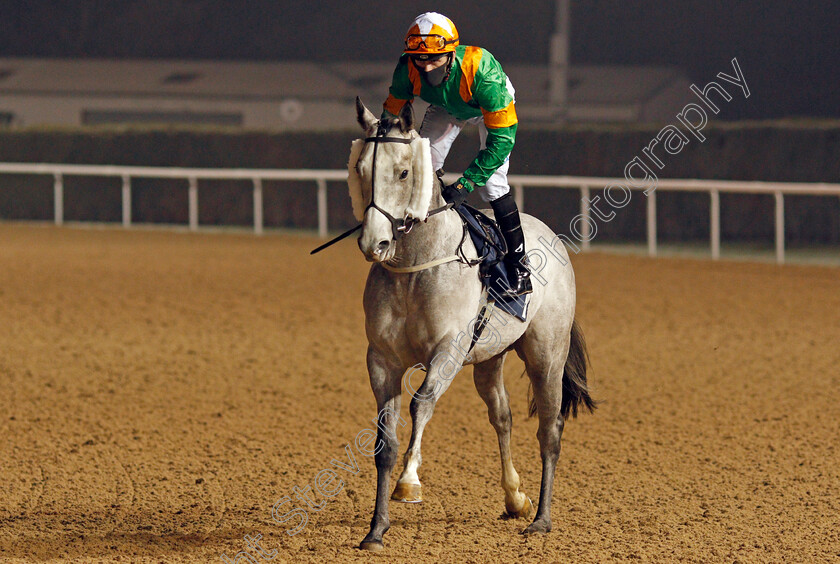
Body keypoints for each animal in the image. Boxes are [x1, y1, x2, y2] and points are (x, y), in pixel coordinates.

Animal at [350, 97, 596, 552]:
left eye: (404, 172)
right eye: (360, 168)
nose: (374, 242)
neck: (416, 266)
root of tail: (550, 236)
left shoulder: (447, 351)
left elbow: (421, 403)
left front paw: (409, 482)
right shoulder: (382, 360)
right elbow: (383, 442)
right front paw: (376, 529)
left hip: (547, 356)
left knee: (550, 431)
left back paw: (541, 518)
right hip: (489, 359)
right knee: (503, 417)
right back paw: (516, 498)